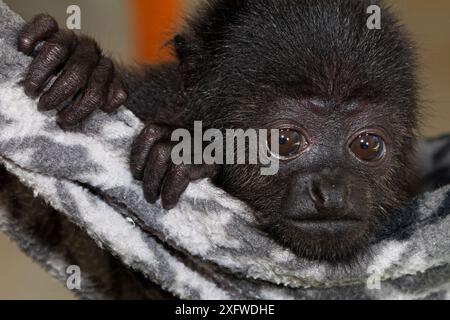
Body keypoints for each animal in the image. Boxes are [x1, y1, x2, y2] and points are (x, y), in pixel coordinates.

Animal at [17, 0, 418, 262]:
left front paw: (185, 153)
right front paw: (82, 67)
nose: (332, 191)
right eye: (286, 140)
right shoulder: (149, 95)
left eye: (367, 145)